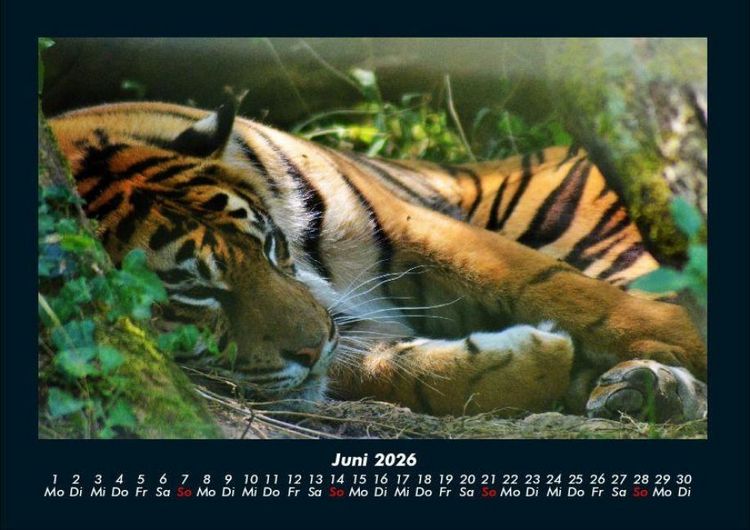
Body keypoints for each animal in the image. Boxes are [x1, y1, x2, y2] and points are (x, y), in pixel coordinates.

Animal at [47, 98, 708, 423]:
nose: (315, 343)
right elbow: (399, 370)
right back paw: (642, 390)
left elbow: (558, 287)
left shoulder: (410, 224)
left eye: (270, 246)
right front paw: (529, 364)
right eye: (194, 294)